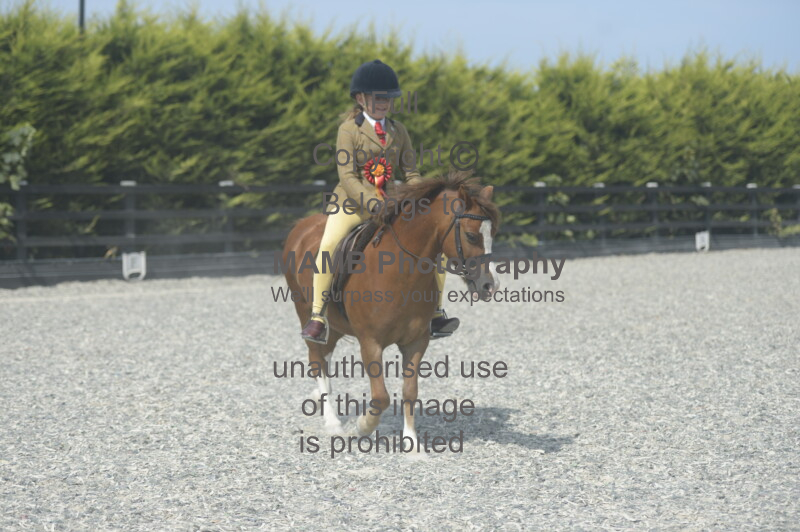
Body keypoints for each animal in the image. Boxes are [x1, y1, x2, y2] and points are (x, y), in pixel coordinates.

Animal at [282, 170, 501, 449]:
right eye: (472, 236)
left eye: (493, 233)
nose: (490, 286)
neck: (401, 273)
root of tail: (302, 225)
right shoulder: (370, 342)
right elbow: (381, 396)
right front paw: (363, 426)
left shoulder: (416, 342)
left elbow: (410, 391)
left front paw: (412, 444)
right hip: (304, 312)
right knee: (316, 360)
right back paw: (333, 424)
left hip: (335, 327)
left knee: (325, 357)